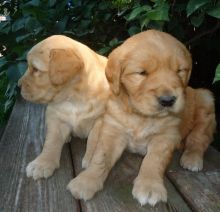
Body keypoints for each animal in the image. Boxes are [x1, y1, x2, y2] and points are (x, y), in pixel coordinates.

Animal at [18, 35, 109, 181]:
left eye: (36, 69)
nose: (18, 86)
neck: (73, 98)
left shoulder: (102, 118)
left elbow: (94, 139)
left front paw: (91, 160)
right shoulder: (55, 117)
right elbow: (51, 142)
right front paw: (41, 163)